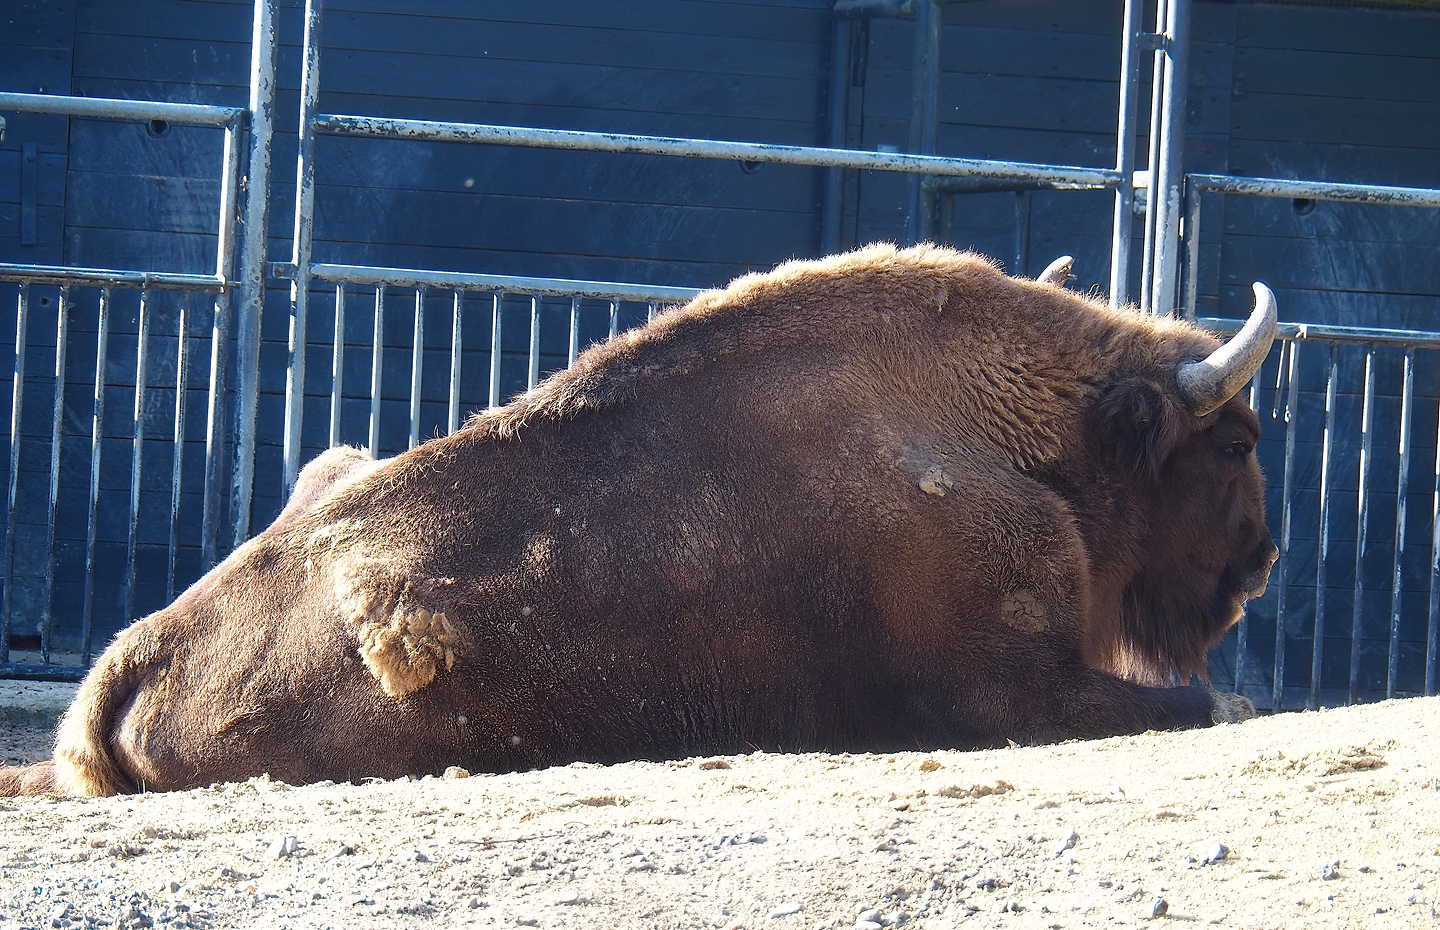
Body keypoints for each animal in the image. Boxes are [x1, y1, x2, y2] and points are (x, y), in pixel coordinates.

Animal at [1, 244, 1277, 797]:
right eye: (1236, 442)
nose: (1262, 563)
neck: (1021, 429)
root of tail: (133, 655)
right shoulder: (1015, 694)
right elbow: (1211, 705)